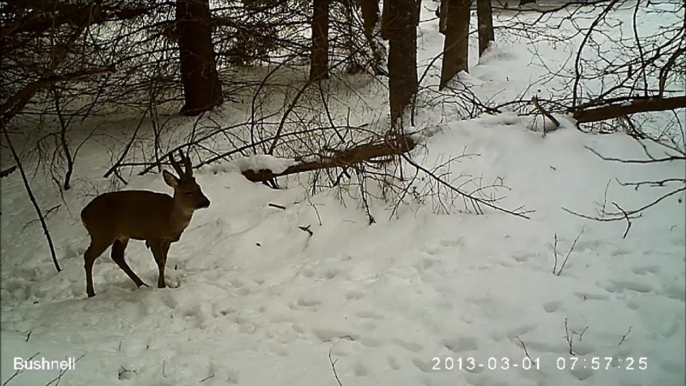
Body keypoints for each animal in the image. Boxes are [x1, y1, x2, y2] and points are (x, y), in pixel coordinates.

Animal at [81, 149, 211, 298]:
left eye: (199, 187)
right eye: (188, 191)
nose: (206, 202)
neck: (169, 219)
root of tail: (83, 214)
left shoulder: (167, 240)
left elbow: (164, 261)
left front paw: (162, 285)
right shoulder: (153, 236)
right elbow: (160, 262)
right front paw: (162, 286)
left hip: (122, 235)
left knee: (116, 255)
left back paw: (142, 284)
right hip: (101, 233)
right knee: (89, 256)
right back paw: (91, 293)